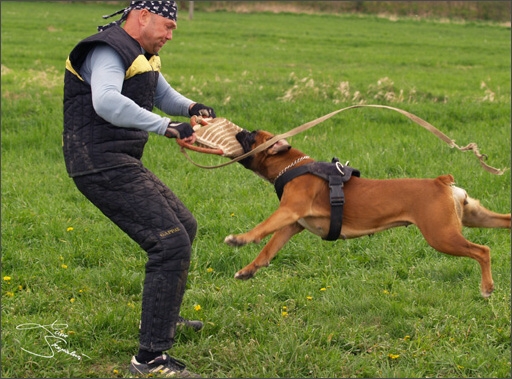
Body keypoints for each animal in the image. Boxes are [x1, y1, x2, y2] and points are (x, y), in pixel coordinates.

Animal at [222, 129, 510, 298]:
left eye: (252, 135)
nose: (239, 130)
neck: (291, 166)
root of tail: (441, 182)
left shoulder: (288, 212)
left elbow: (262, 229)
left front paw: (240, 239)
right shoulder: (293, 224)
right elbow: (268, 248)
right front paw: (248, 270)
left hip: (442, 236)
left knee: (482, 251)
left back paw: (487, 287)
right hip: (472, 217)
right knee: (504, 222)